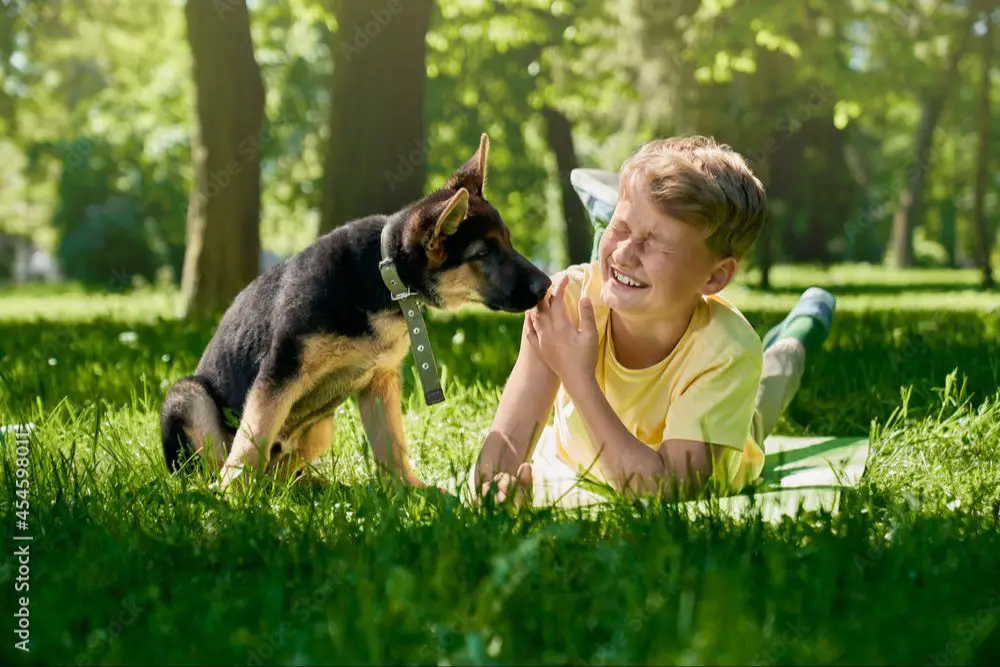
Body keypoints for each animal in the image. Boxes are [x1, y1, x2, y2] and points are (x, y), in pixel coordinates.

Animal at [162, 134, 556, 490]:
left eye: (508, 241)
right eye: (484, 253)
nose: (547, 285)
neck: (384, 277)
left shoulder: (379, 382)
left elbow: (392, 446)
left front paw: (411, 492)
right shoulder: (279, 373)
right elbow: (251, 440)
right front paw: (230, 498)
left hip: (321, 428)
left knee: (281, 471)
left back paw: (311, 487)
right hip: (188, 397)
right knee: (217, 464)